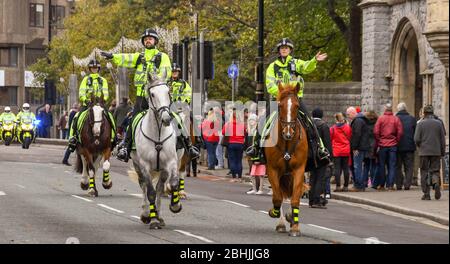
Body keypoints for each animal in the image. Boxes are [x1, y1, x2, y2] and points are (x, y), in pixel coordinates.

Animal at [264, 82, 310, 237]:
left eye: (297, 105)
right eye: (280, 105)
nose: (288, 133)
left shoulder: (299, 169)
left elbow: (295, 197)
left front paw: (295, 226)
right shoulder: (272, 170)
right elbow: (277, 198)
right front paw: (274, 213)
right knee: (280, 195)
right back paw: (281, 222)